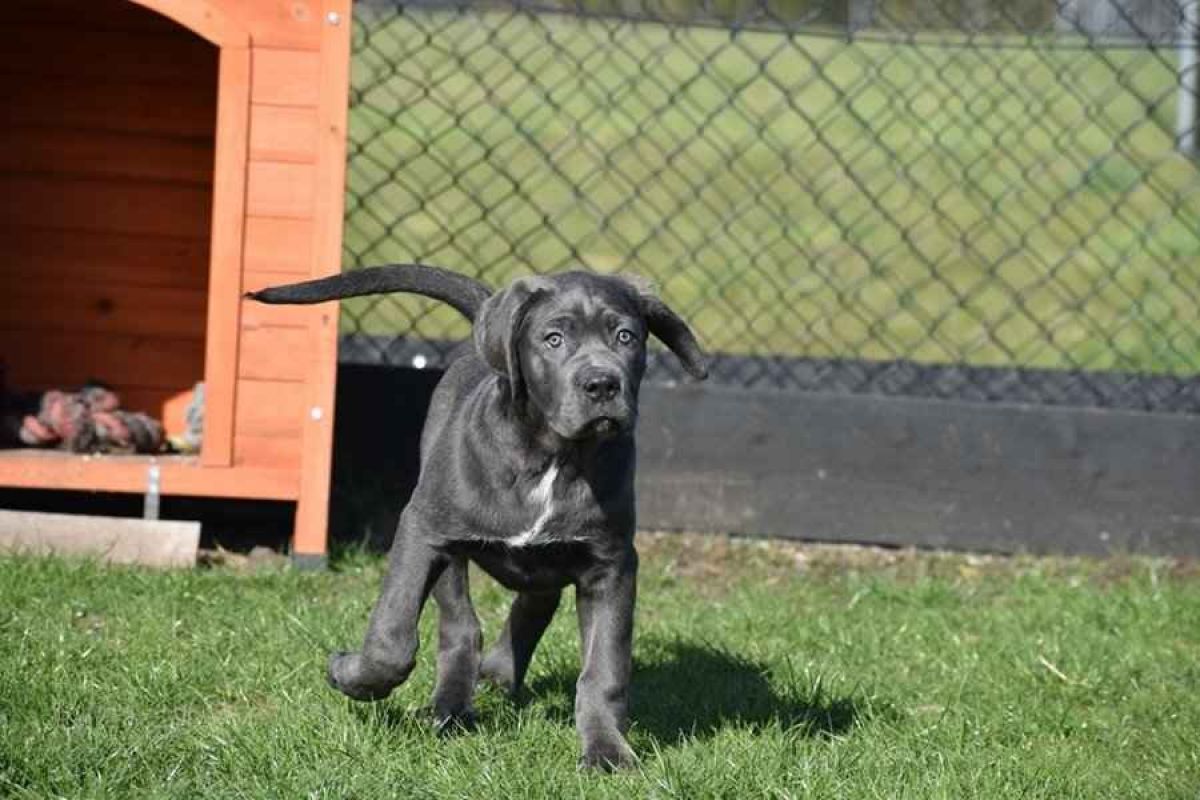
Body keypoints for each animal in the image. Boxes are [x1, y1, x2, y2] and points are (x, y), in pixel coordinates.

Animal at [248, 264, 707, 769]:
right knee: (461, 626)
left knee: (533, 603)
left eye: (626, 336)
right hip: (445, 542)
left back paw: (498, 674)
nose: (602, 385)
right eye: (553, 339)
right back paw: (449, 707)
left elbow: (604, 668)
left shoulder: (611, 564)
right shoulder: (422, 531)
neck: (553, 456)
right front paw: (350, 675)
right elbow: (392, 639)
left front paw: (607, 750)